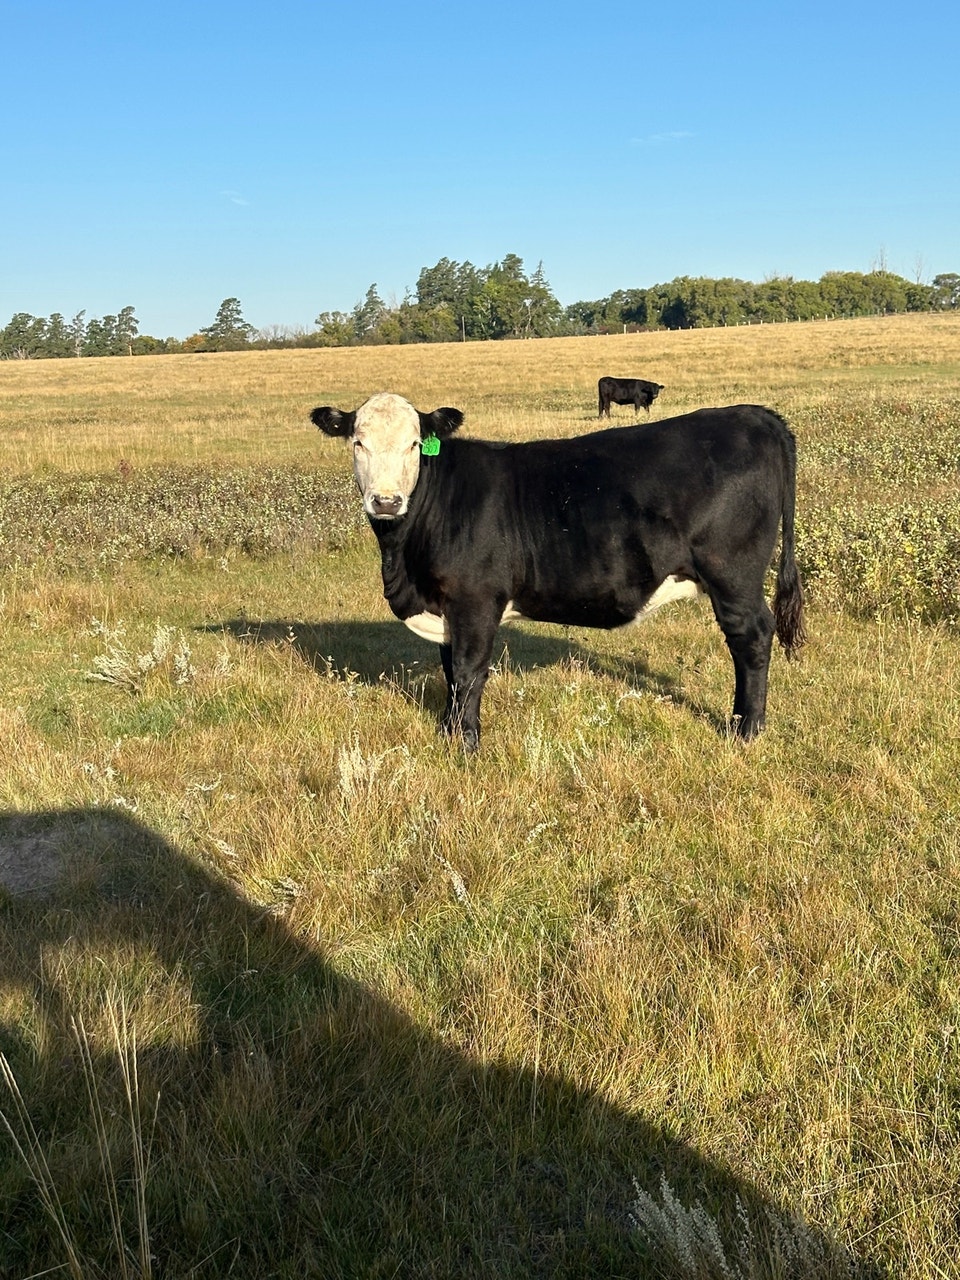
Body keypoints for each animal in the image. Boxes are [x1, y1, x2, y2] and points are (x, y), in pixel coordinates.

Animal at [311, 392, 805, 751]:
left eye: (414, 444)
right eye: (357, 442)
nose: (386, 500)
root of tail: (754, 415)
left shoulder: (476, 600)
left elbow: (469, 672)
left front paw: (465, 745)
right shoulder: (449, 608)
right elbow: (450, 673)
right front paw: (449, 732)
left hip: (732, 575)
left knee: (752, 638)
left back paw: (745, 729)